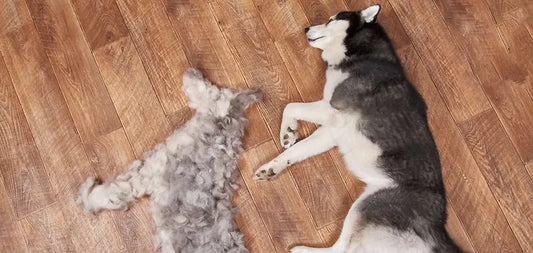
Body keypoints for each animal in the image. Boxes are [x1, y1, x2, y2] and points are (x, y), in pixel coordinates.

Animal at [251, 4, 460, 253]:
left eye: (331, 19)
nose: (306, 28)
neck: (361, 54)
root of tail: (437, 225)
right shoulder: (331, 131)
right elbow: (297, 150)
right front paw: (274, 165)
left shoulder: (334, 110)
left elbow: (290, 106)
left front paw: (288, 130)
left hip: (365, 206)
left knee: (340, 249)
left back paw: (303, 250)